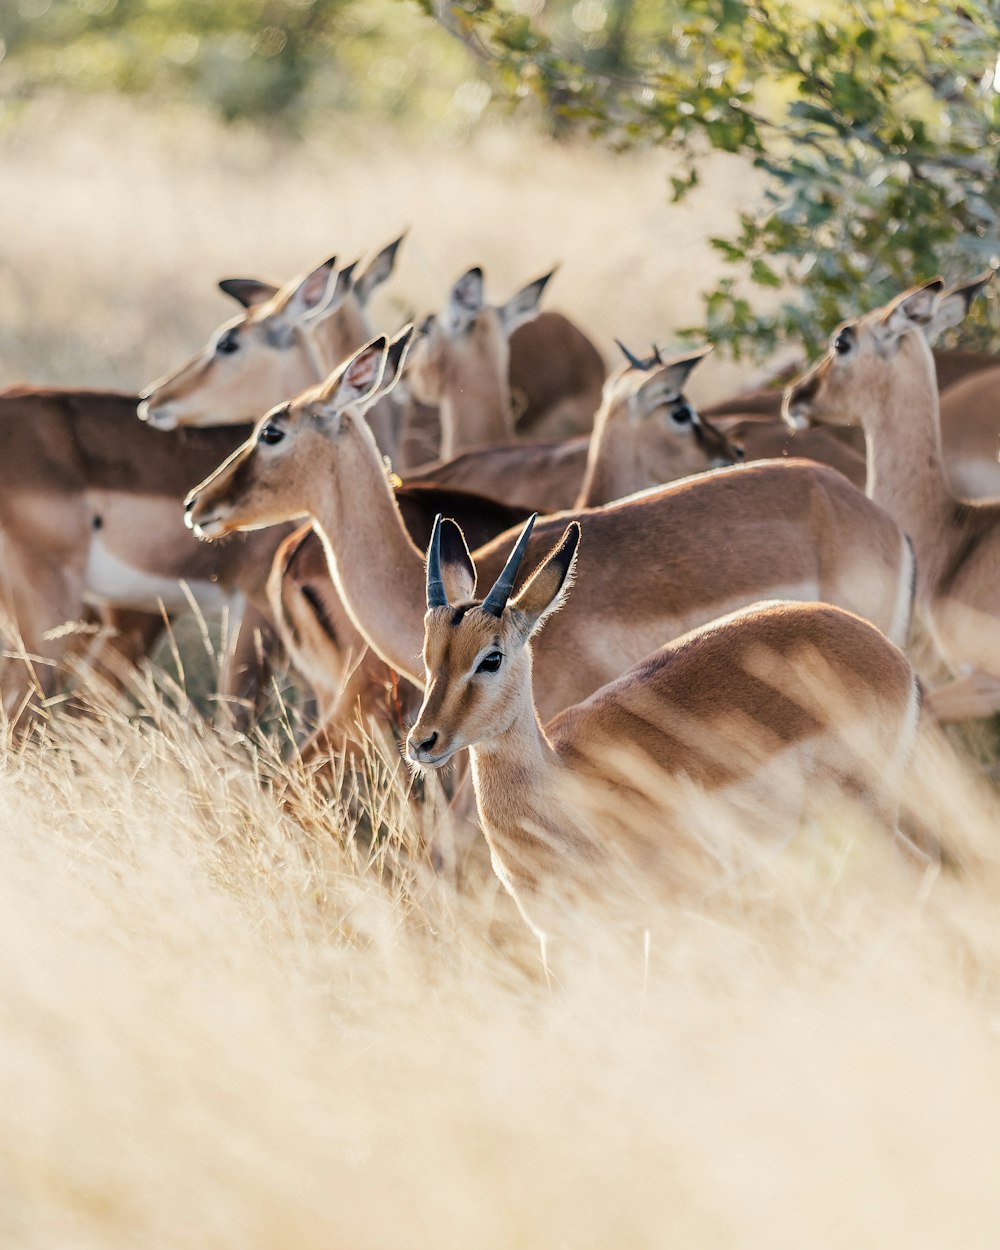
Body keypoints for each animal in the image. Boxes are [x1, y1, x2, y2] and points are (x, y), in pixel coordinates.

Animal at [402, 512, 920, 950]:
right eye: (427, 654)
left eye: (491, 658)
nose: (422, 743)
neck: (563, 785)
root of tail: (888, 652)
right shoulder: (554, 937)